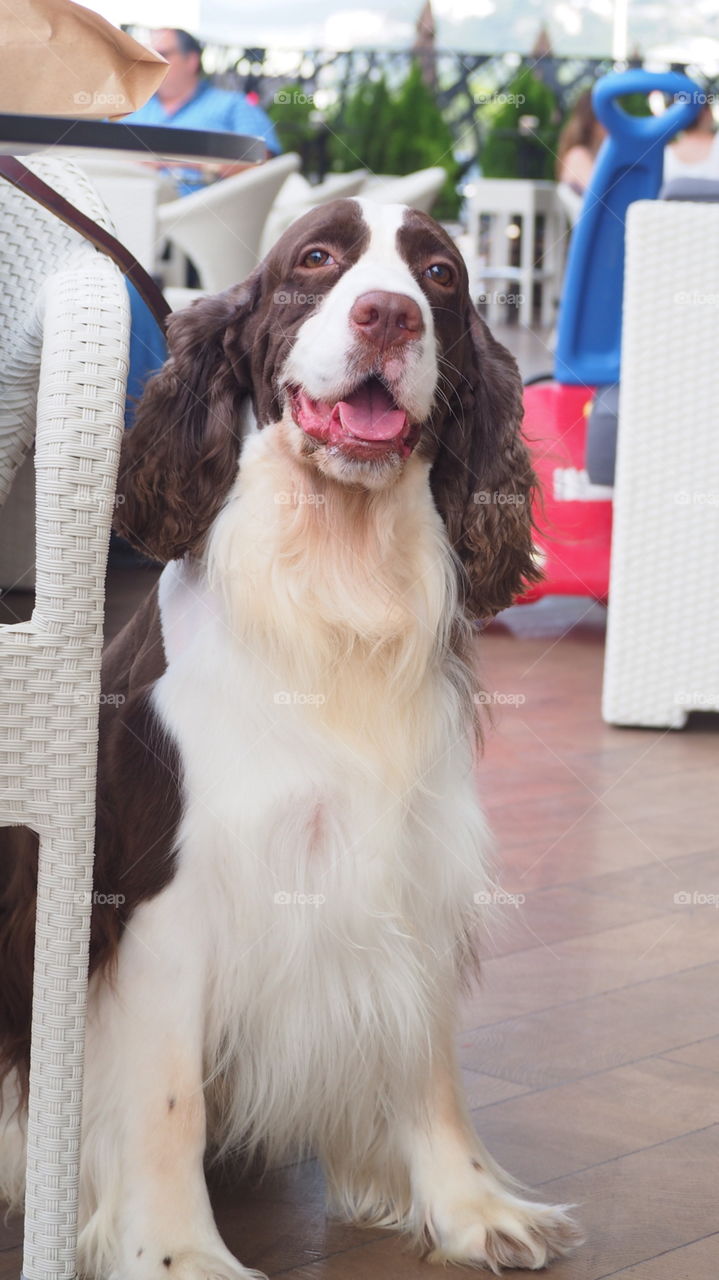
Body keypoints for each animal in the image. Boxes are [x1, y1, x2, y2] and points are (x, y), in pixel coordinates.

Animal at [0, 197, 573, 1269]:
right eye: (315, 258)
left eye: (438, 272)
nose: (388, 315)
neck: (336, 586)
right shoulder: (165, 903)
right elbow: (166, 1104)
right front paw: (177, 1255)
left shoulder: (406, 873)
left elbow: (428, 1067)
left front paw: (473, 1210)